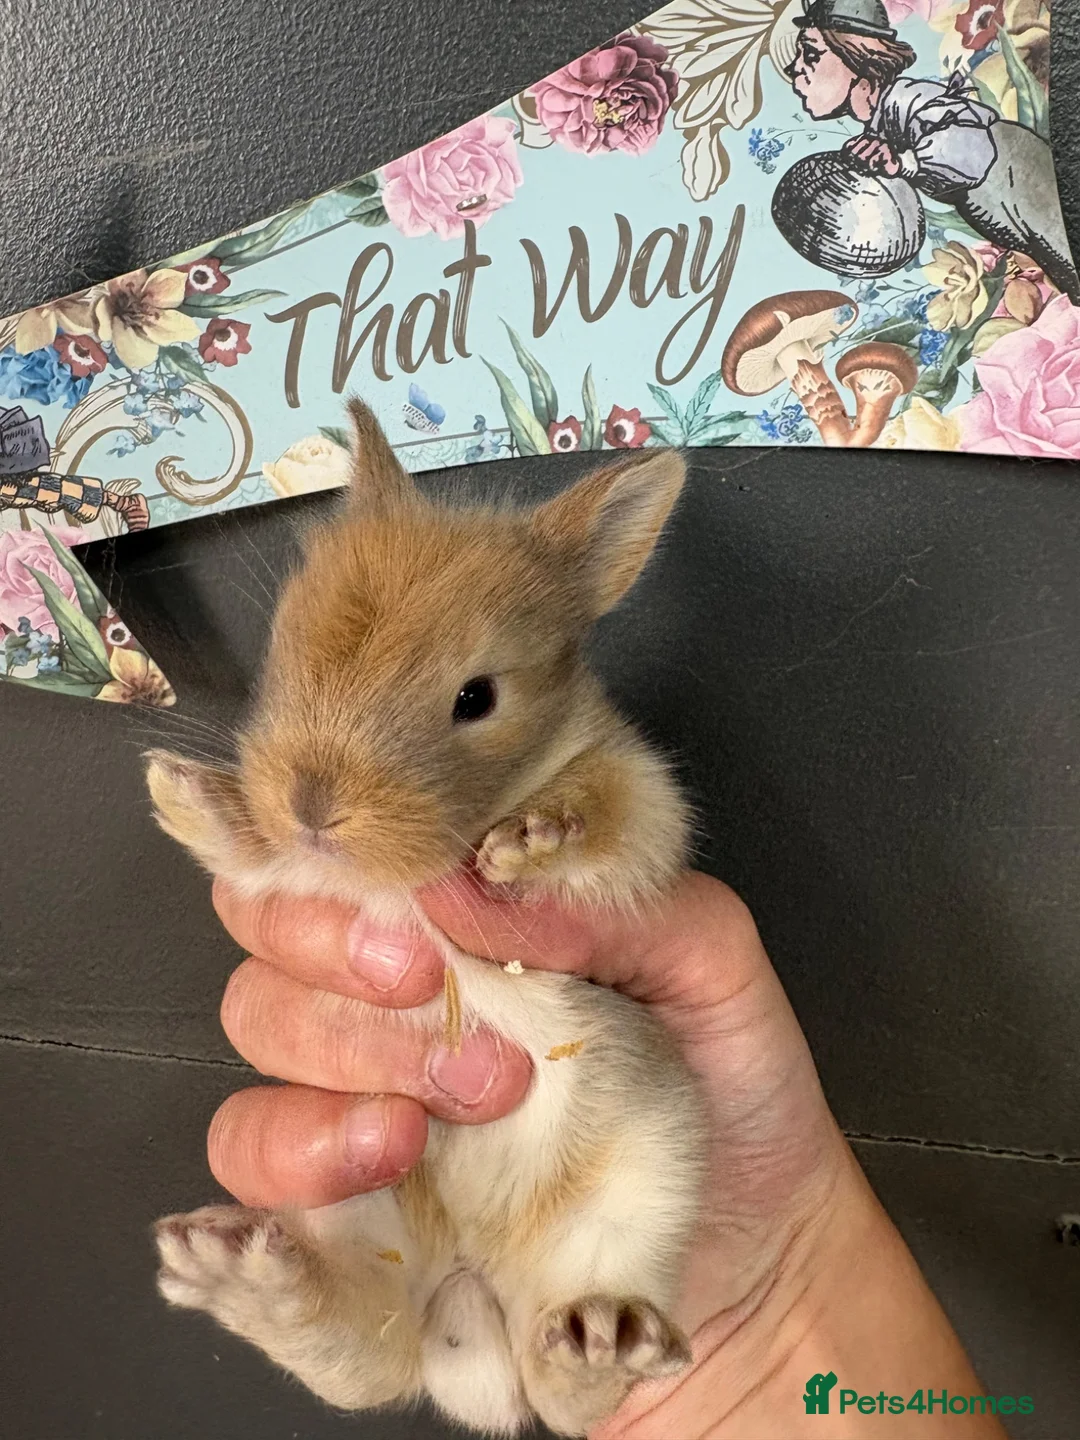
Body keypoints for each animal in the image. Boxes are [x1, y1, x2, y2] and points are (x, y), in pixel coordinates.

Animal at [146, 399, 707, 1438]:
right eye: (289, 647)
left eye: (476, 697)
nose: (314, 803)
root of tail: (471, 1291)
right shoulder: (322, 884)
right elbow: (265, 862)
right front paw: (189, 796)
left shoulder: (637, 803)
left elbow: (614, 821)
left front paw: (530, 838)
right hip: (358, 1207)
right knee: (362, 1349)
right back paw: (241, 1276)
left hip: (639, 1201)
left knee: (561, 1384)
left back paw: (600, 1343)